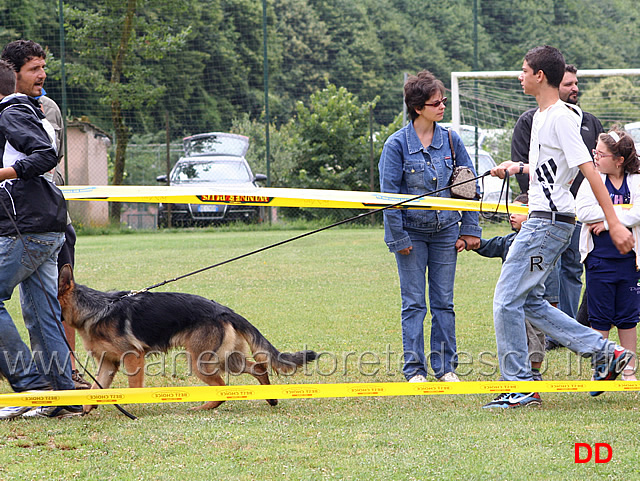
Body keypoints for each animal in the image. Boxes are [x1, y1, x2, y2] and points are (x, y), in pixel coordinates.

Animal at [57, 264, 318, 410]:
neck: (96, 309)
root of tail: (224, 310)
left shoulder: (133, 358)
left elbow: (133, 386)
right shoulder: (108, 363)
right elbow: (95, 388)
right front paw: (87, 408)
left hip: (200, 362)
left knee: (223, 386)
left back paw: (204, 407)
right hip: (228, 360)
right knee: (259, 367)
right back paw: (270, 398)